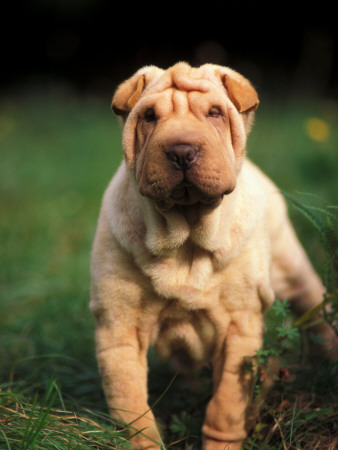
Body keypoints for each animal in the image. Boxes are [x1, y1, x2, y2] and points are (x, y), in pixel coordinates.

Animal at [90, 61, 336, 448]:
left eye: (215, 113)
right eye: (149, 116)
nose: (181, 151)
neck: (185, 239)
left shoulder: (239, 328)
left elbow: (225, 404)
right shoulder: (119, 327)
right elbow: (130, 405)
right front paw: (144, 441)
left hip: (296, 274)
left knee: (316, 315)